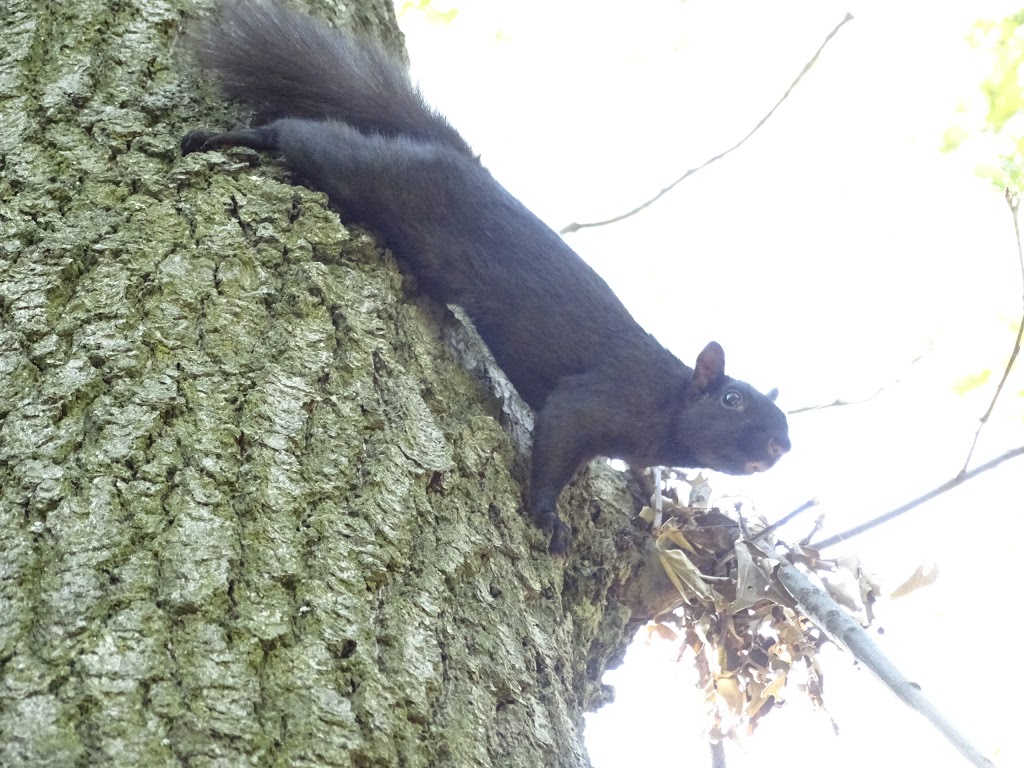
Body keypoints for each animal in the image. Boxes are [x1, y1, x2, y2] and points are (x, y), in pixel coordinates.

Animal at [182, 0, 790, 552]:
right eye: (732, 400)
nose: (780, 445)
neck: (667, 401)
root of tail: (459, 161)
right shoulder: (597, 396)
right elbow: (559, 434)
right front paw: (548, 514)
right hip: (380, 178)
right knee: (305, 137)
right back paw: (230, 137)